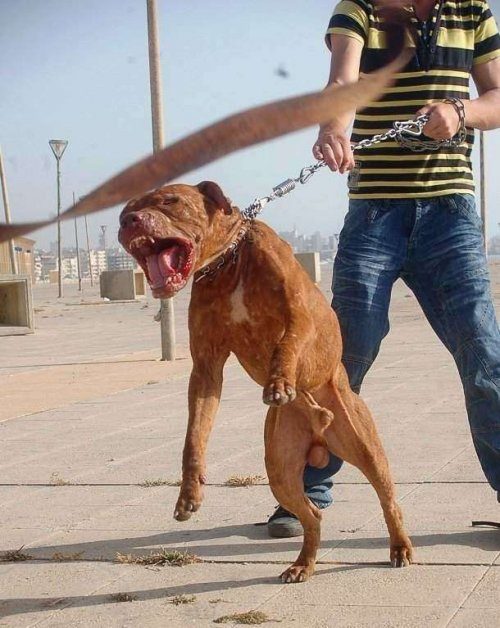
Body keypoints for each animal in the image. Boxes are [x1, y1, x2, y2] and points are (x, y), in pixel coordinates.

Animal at [118, 181, 413, 583]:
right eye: (125, 210)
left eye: (170, 201)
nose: (128, 220)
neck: (229, 262)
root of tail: (320, 435)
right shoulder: (206, 367)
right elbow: (194, 435)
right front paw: (189, 493)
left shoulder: (300, 316)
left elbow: (287, 344)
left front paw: (279, 382)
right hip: (280, 468)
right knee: (312, 515)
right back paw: (303, 563)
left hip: (363, 445)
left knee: (388, 497)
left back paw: (399, 546)